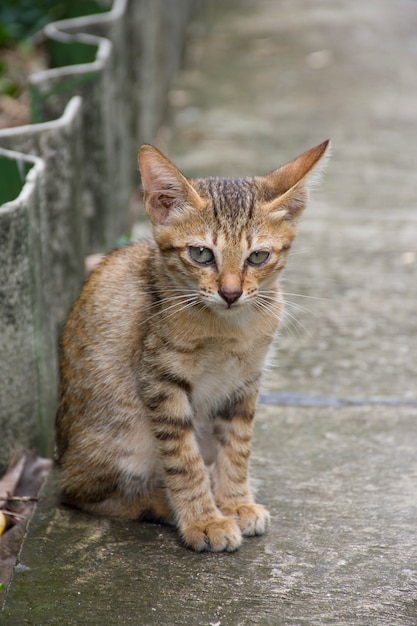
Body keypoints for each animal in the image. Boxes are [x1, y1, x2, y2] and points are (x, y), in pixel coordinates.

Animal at [55, 141, 328, 552]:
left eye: (258, 256)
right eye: (201, 254)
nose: (230, 293)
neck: (230, 328)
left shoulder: (244, 382)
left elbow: (238, 446)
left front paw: (236, 502)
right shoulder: (160, 380)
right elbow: (184, 460)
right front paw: (204, 520)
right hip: (122, 436)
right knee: (77, 491)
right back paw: (161, 502)